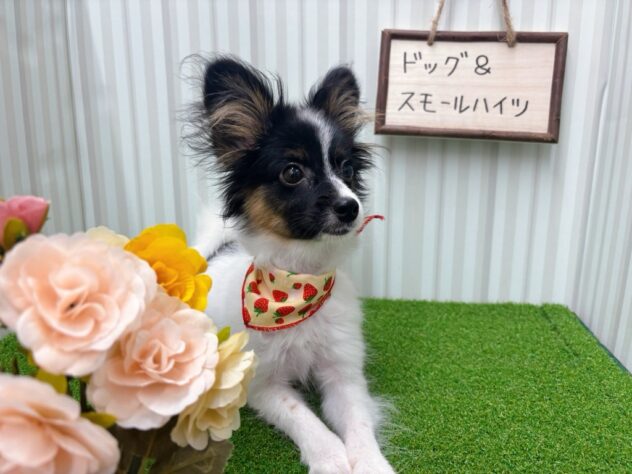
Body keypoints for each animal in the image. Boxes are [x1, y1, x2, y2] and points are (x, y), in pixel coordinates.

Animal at [190, 57, 394, 474]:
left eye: (347, 170)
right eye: (292, 172)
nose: (351, 207)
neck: (298, 284)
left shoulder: (343, 374)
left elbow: (359, 423)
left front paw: (370, 463)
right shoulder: (262, 384)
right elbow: (307, 420)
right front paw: (332, 460)